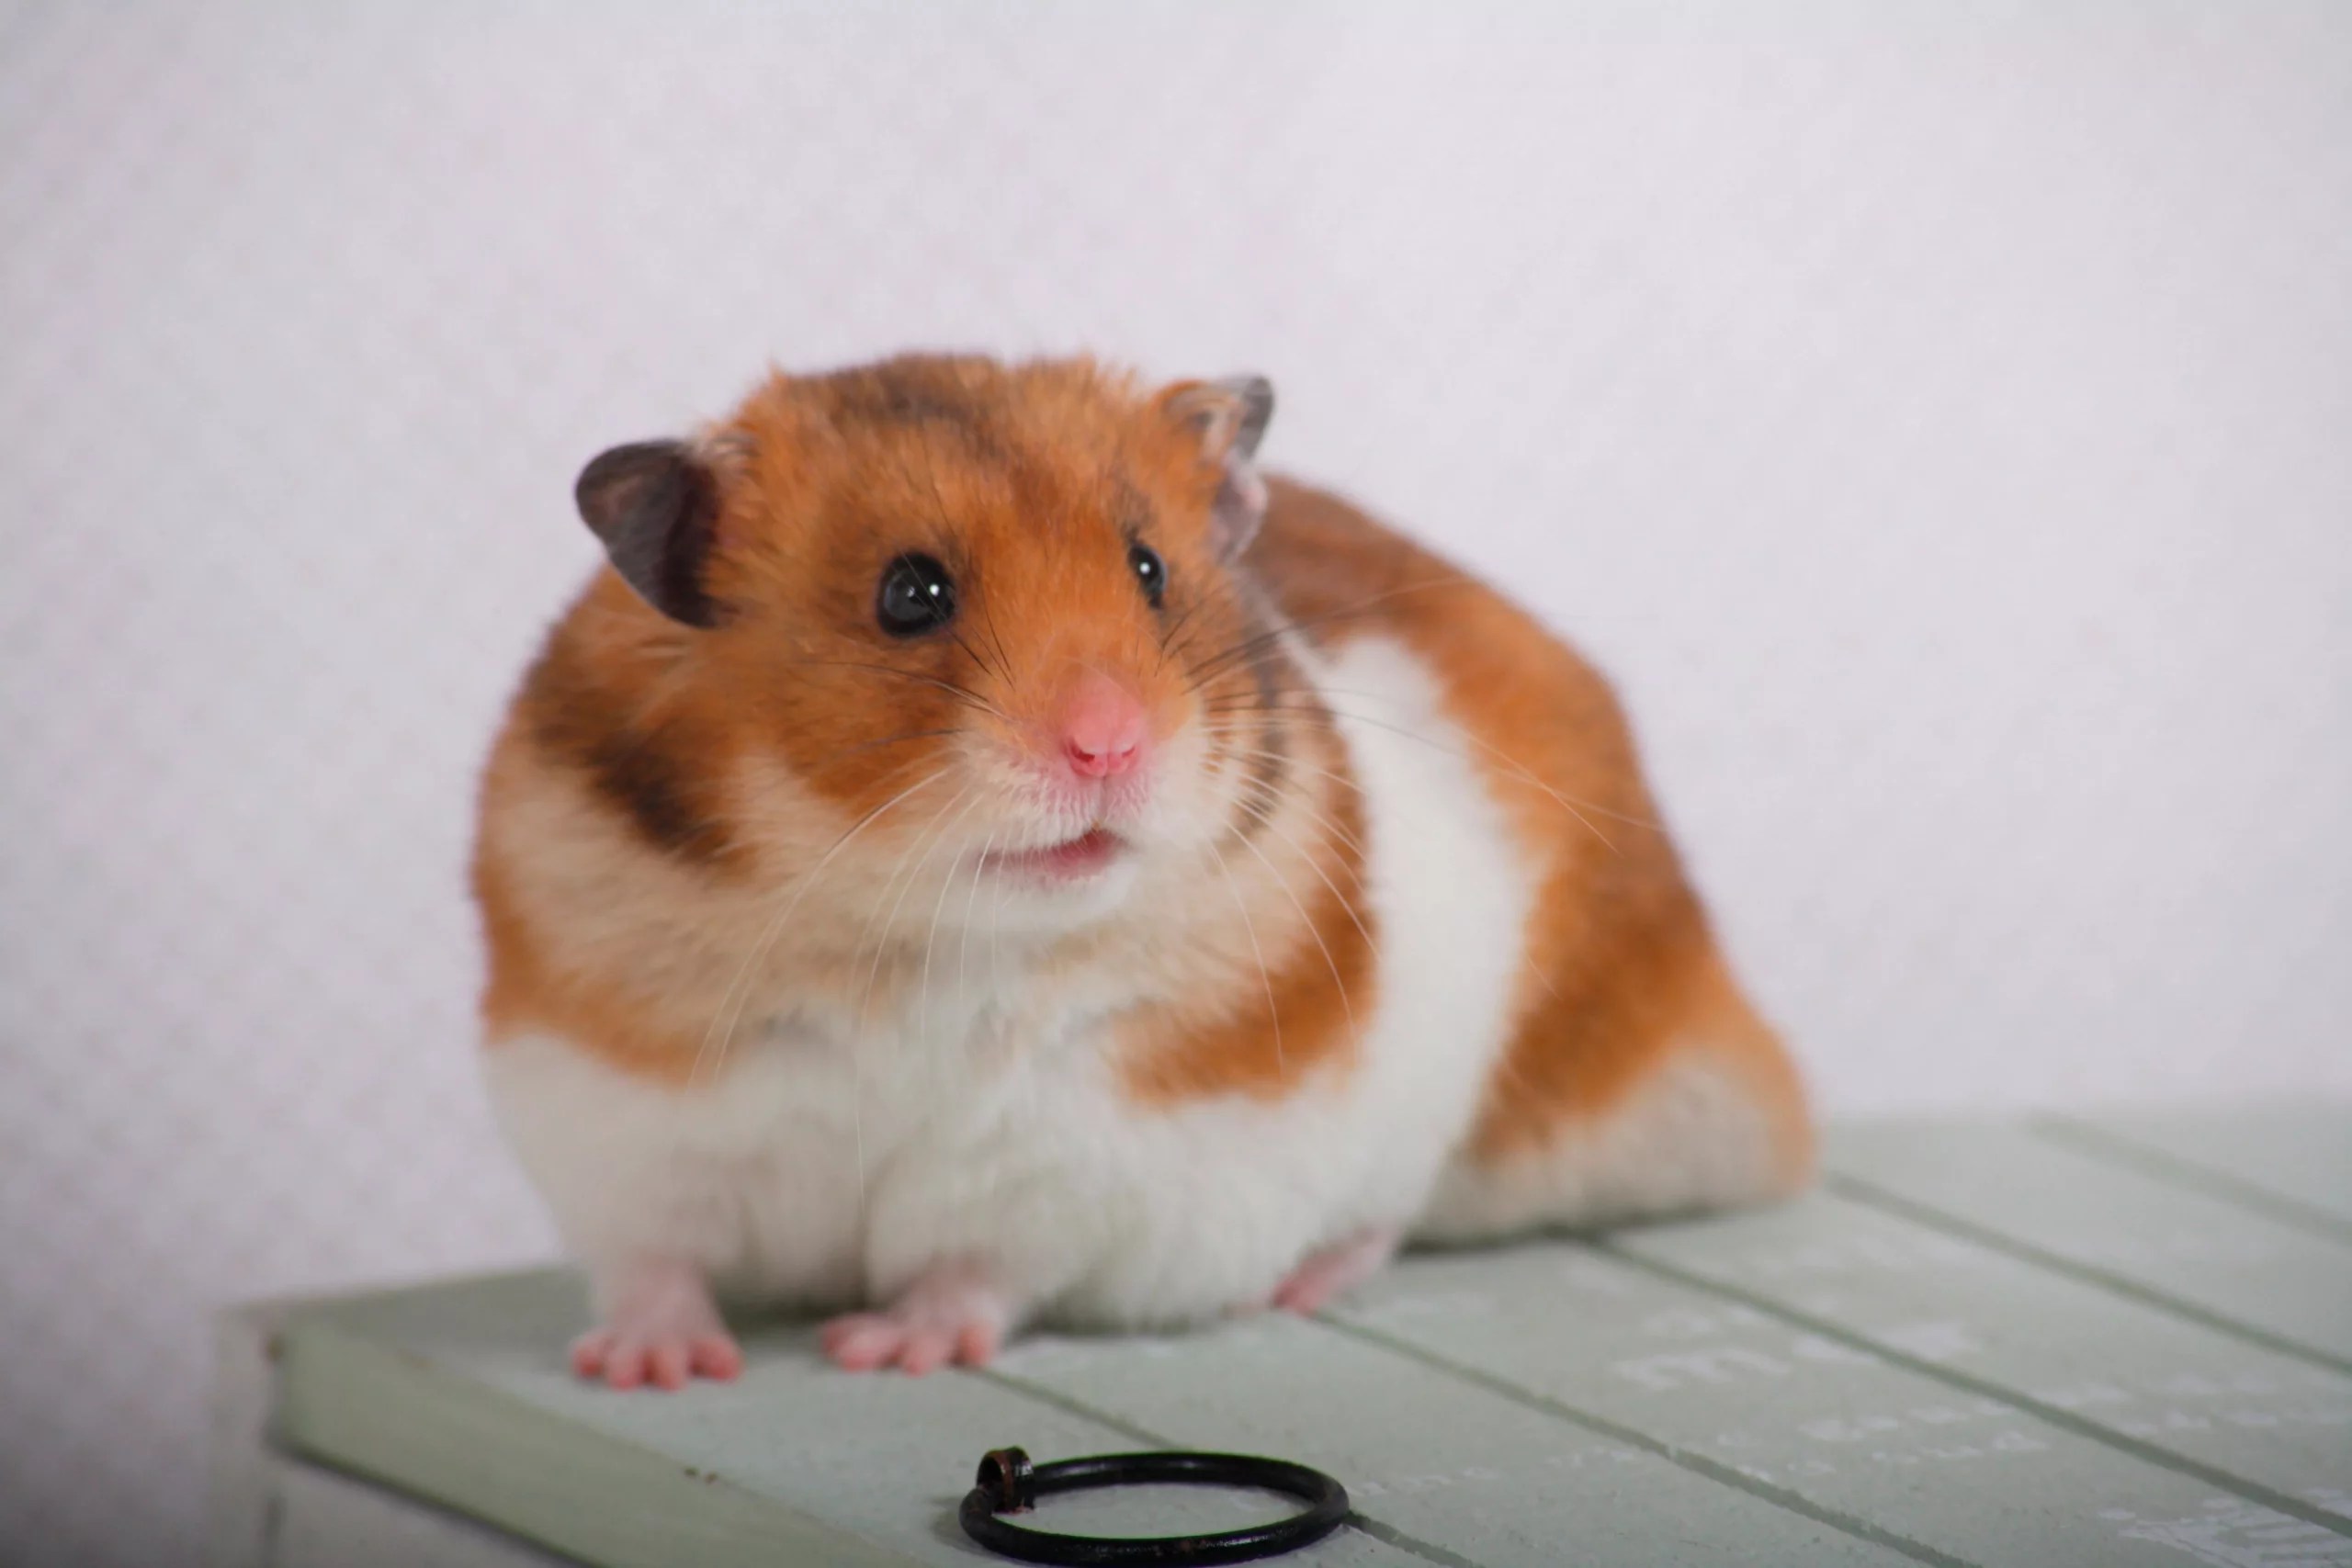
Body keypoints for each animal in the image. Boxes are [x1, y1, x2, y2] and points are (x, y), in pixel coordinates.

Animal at [471, 353, 1811, 1387]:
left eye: (1150, 569)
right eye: (910, 592)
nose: (1109, 743)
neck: (913, 921)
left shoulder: (1085, 1151)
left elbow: (981, 1266)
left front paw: (880, 1346)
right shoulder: (620, 1118)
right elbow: (652, 1262)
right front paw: (649, 1369)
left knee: (1384, 1217)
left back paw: (1297, 1284)